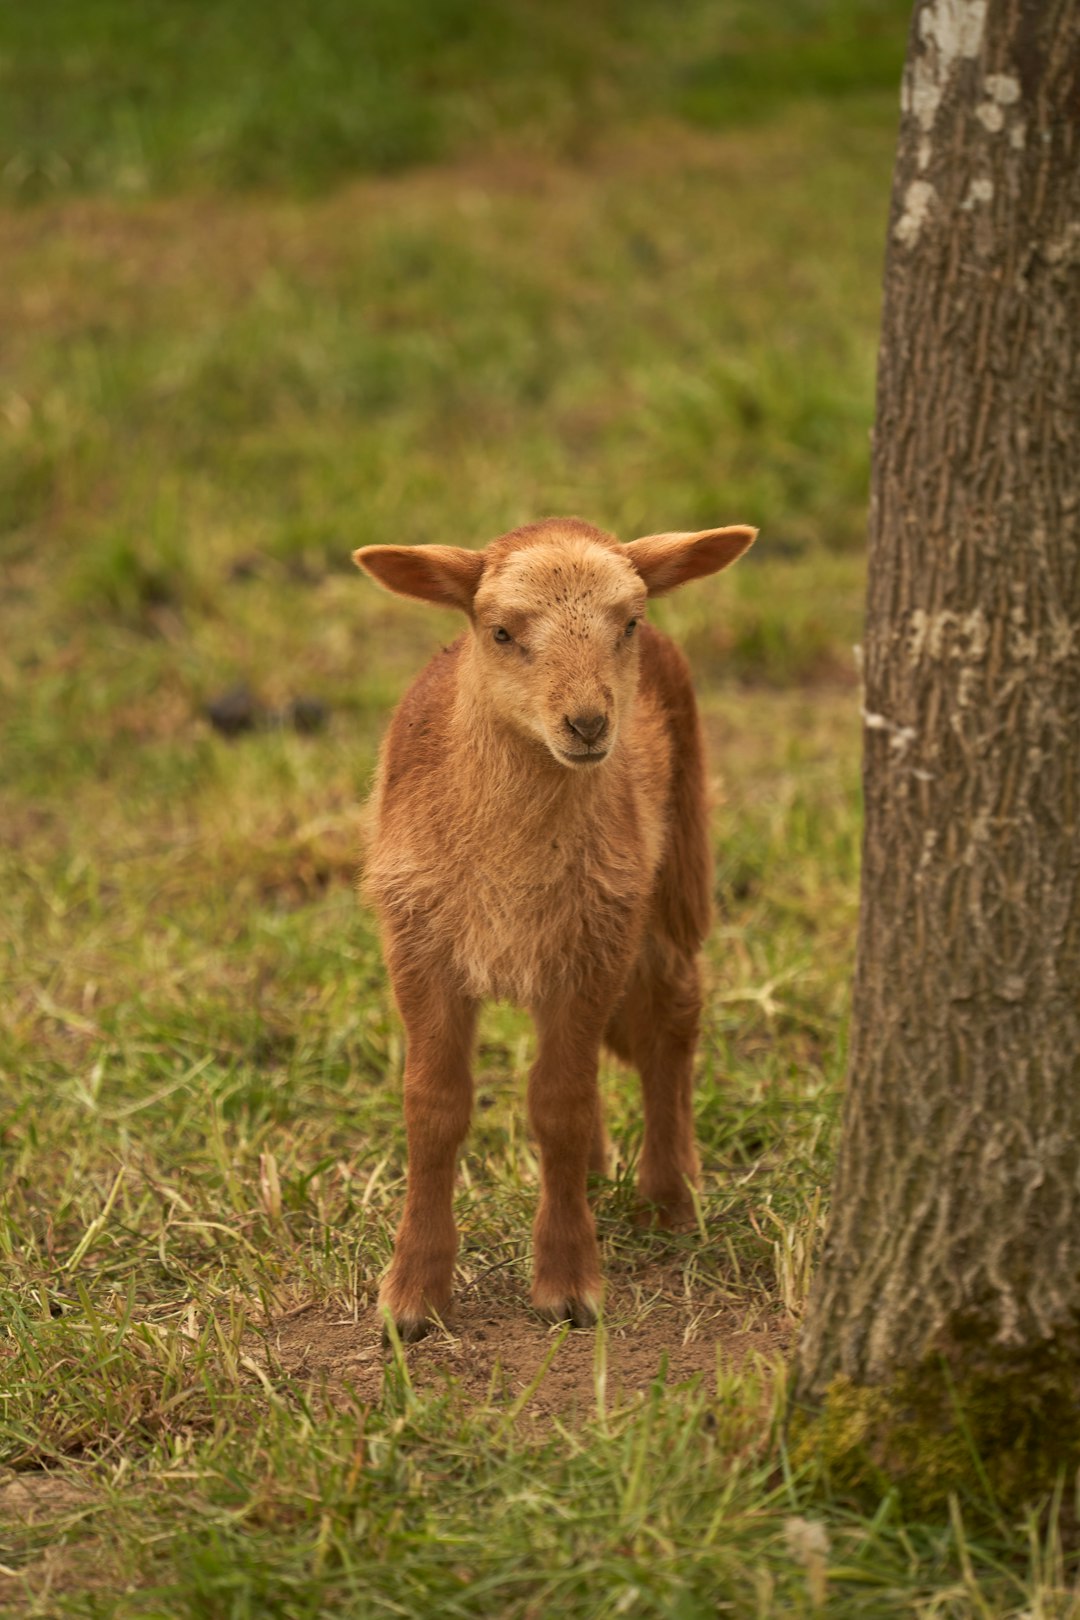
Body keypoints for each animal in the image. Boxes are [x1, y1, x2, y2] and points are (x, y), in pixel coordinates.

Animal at [351, 518, 757, 1341]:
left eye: (627, 623)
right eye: (501, 631)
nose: (589, 723)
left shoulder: (595, 944)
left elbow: (558, 1106)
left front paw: (568, 1284)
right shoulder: (419, 944)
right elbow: (434, 1106)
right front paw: (413, 1298)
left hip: (675, 874)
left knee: (675, 1014)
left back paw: (670, 1193)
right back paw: (604, 1173)